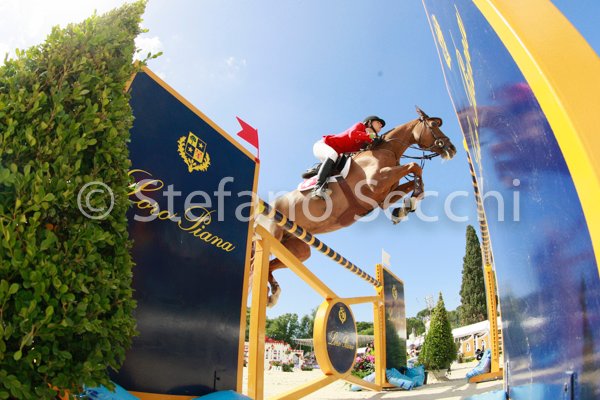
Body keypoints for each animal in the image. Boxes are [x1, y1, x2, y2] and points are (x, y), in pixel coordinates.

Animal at [260, 107, 457, 306]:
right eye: (433, 125)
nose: (452, 149)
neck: (387, 151)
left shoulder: (384, 197)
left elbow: (416, 178)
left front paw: (404, 208)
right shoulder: (375, 183)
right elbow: (415, 166)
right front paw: (409, 203)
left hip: (297, 248)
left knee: (271, 264)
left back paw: (273, 294)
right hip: (274, 233)